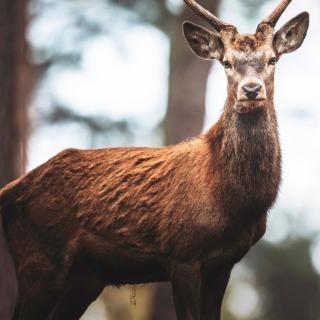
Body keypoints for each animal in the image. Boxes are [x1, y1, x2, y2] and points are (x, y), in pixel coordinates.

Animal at [0, 0, 310, 318]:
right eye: (226, 62)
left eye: (272, 59)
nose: (251, 89)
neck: (234, 203)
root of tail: (9, 192)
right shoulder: (182, 252)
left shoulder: (225, 262)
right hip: (39, 261)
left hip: (86, 275)